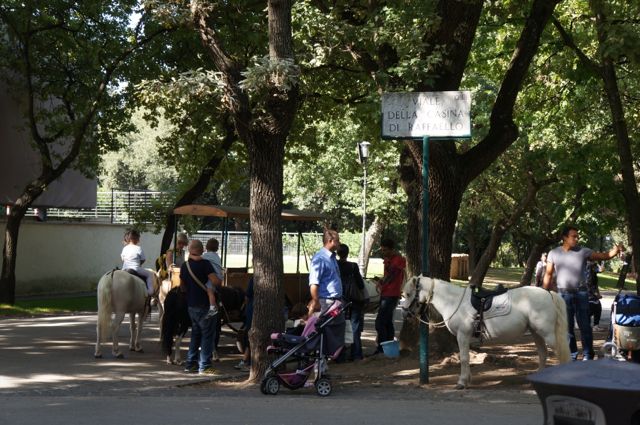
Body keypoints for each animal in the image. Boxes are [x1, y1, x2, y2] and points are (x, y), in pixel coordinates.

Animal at [400, 274, 568, 388]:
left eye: (408, 294)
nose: (405, 314)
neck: (453, 301)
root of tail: (548, 293)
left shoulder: (462, 336)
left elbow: (464, 358)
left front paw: (462, 382)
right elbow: (466, 358)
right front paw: (467, 379)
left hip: (547, 334)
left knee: (557, 352)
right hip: (536, 333)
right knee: (543, 353)